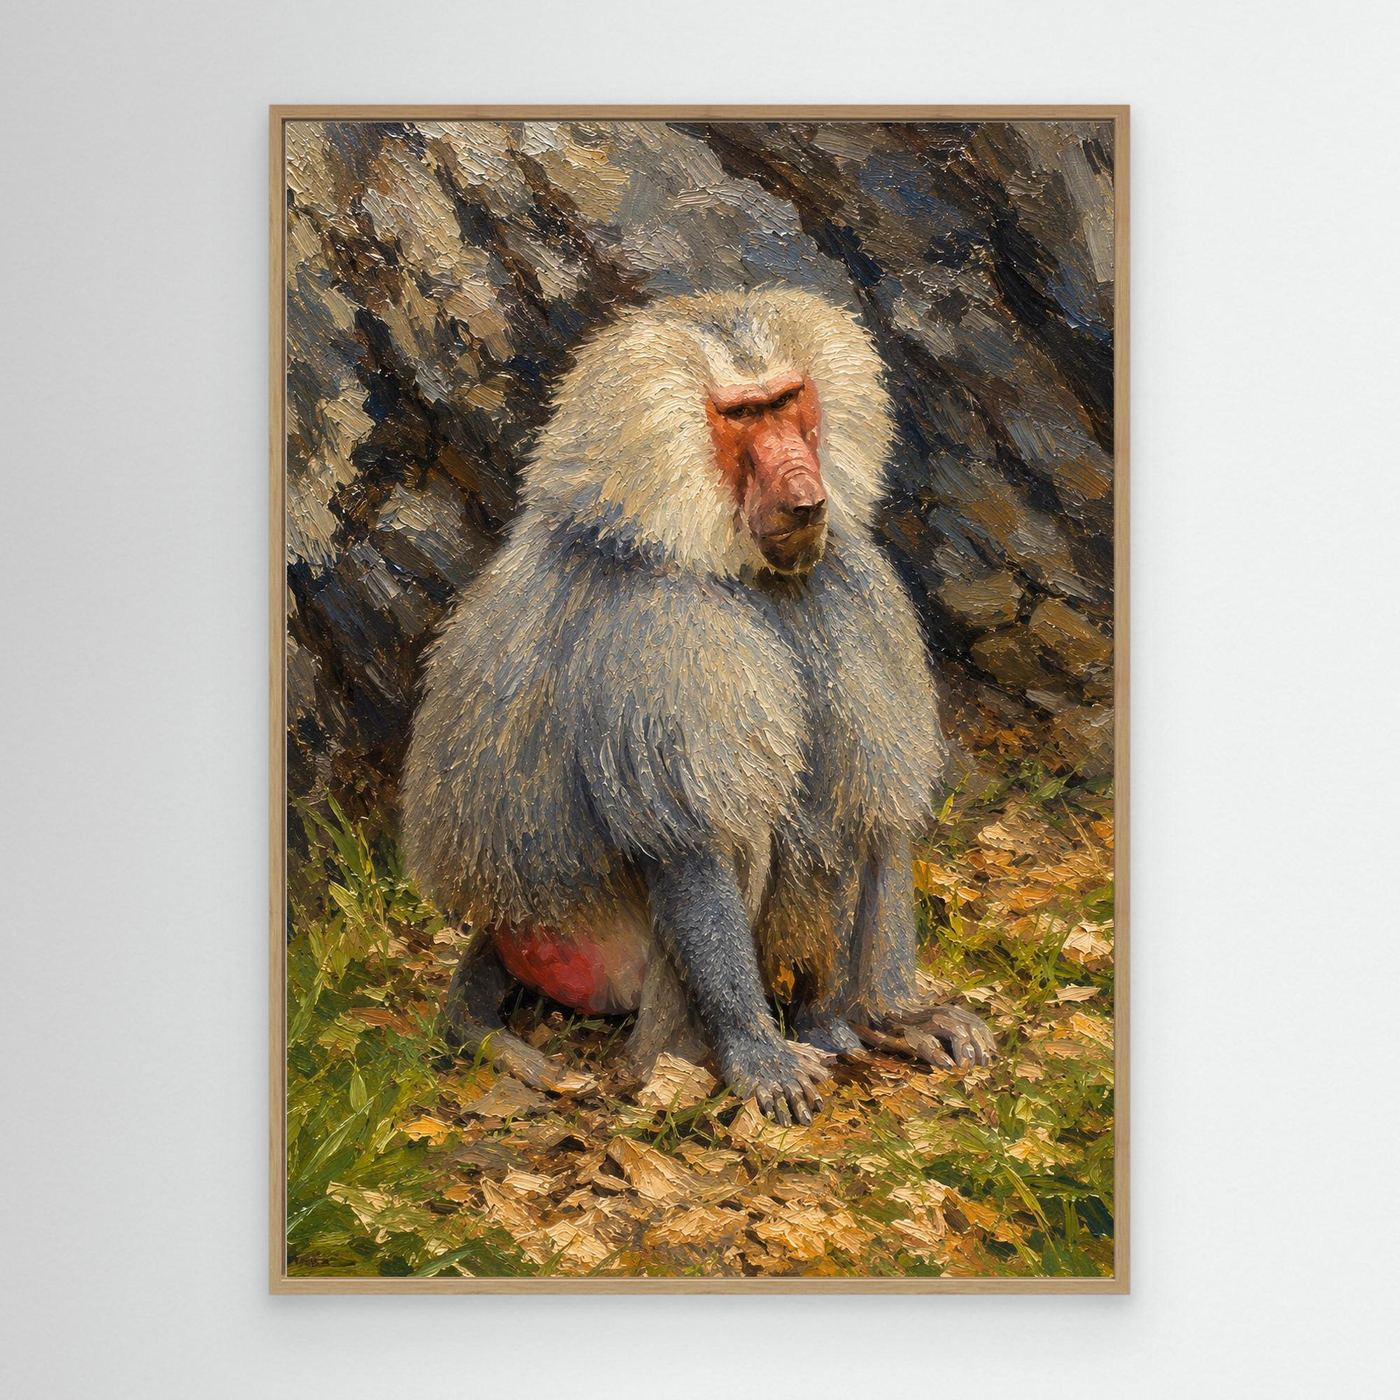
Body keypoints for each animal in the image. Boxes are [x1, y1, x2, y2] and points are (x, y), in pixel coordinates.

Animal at [401, 287, 996, 1125]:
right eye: (741, 417)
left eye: (787, 401)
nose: (806, 493)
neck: (726, 562)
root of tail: (504, 923)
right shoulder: (665, 635)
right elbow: (691, 844)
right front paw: (755, 1055)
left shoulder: (843, 585)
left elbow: (873, 804)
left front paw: (898, 1015)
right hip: (601, 954)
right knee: (741, 831)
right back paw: (676, 1067)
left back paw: (838, 1024)